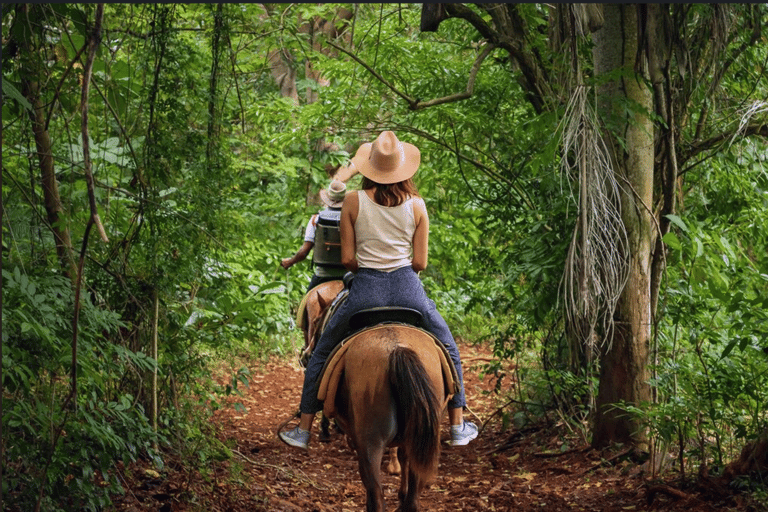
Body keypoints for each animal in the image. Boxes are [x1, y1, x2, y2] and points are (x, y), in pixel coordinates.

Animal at [318, 324, 450, 512]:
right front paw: (401, 495)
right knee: (412, 500)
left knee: (376, 496)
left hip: (371, 442)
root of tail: (397, 348)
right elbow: (403, 457)